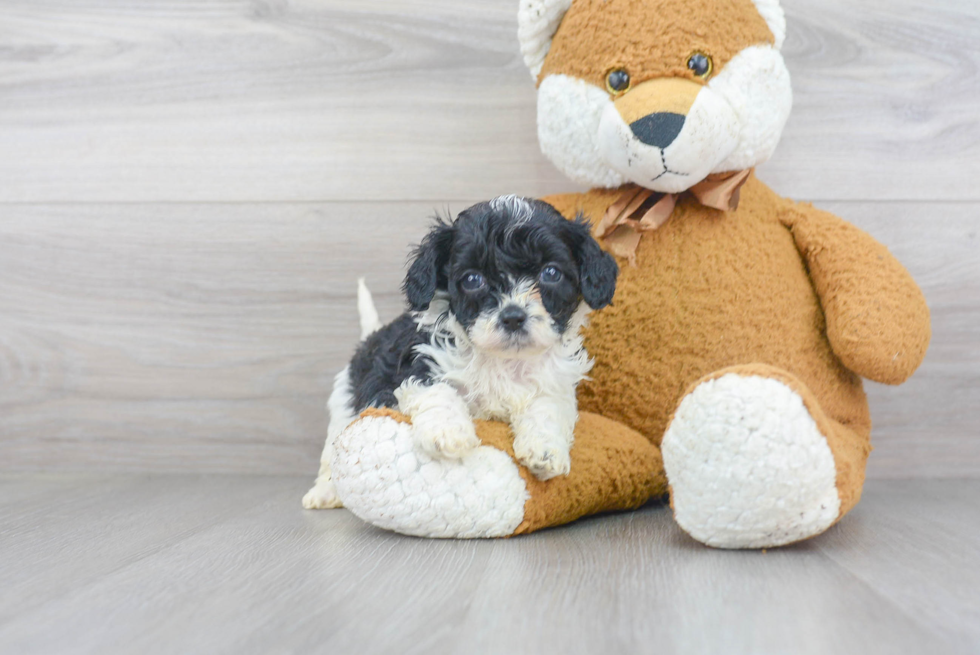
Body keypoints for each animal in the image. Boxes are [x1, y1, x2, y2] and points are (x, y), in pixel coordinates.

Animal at [302, 196, 616, 512]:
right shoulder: (417, 366)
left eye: (550, 273)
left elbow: (547, 408)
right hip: (343, 406)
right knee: (331, 454)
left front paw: (546, 451)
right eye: (472, 279)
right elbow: (438, 393)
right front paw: (448, 433)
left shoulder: (554, 382)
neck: (503, 360)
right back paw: (324, 492)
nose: (513, 317)